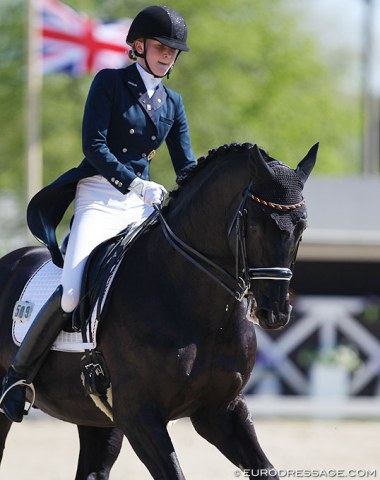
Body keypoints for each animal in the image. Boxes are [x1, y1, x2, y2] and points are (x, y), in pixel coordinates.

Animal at [0, 143, 316, 480]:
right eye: (255, 226)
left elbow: (266, 470)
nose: (275, 313)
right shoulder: (140, 416)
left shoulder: (221, 411)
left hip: (95, 417)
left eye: (302, 227)